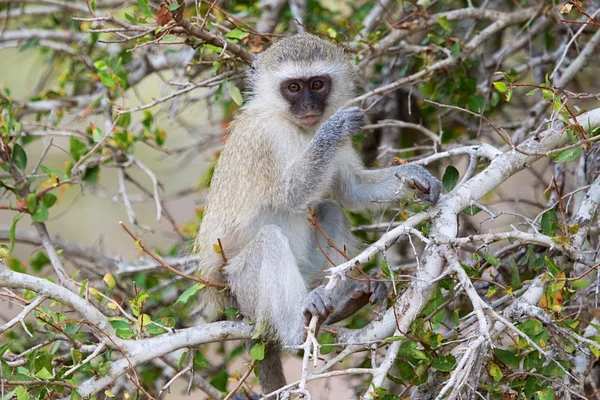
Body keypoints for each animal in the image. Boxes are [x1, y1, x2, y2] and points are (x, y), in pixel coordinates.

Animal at [195, 33, 442, 394]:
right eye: (293, 88)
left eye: (317, 84)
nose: (310, 108)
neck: (297, 128)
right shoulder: (264, 138)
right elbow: (291, 194)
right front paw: (335, 128)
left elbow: (350, 189)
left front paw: (416, 176)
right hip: (240, 290)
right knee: (269, 240)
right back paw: (298, 327)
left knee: (331, 210)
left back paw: (341, 304)